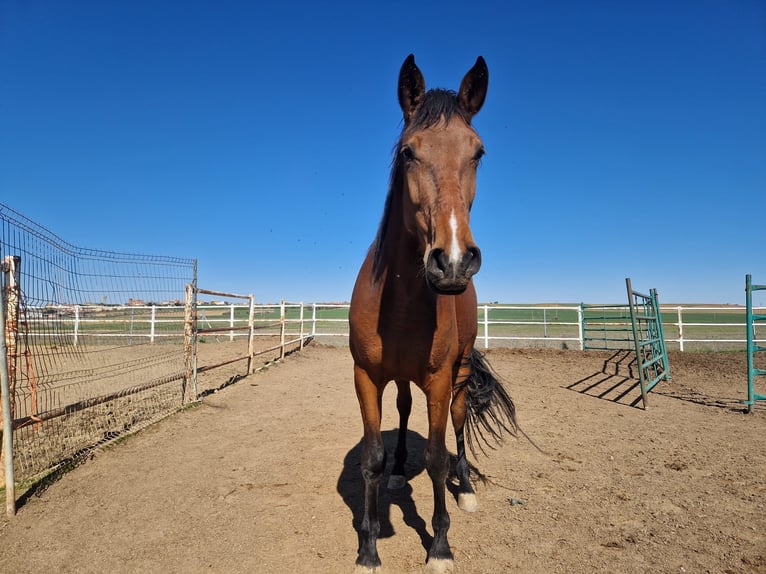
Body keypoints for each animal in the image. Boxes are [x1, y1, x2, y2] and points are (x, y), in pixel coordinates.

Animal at [349, 54, 518, 574]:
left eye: (478, 152)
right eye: (409, 152)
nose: (455, 260)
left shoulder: (441, 380)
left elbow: (439, 456)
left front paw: (440, 545)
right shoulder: (365, 376)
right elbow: (371, 459)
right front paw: (369, 547)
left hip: (459, 373)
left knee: (459, 425)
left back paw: (465, 488)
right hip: (403, 379)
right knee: (404, 410)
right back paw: (402, 469)